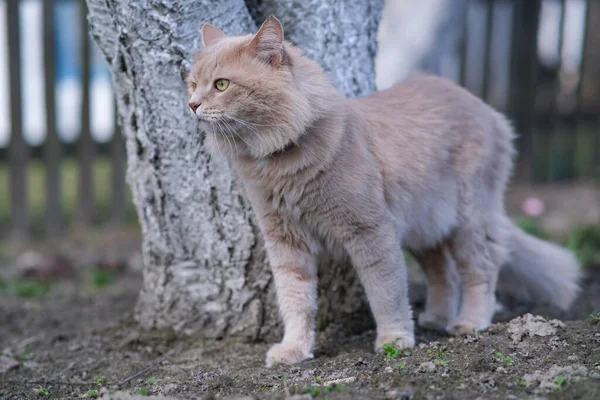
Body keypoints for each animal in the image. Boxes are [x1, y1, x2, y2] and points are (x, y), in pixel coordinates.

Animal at [188, 14, 580, 366]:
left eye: (221, 85)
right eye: (192, 84)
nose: (192, 105)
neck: (279, 162)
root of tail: (489, 111)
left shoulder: (369, 230)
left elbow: (385, 292)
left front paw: (395, 340)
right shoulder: (286, 240)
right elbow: (296, 301)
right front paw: (294, 350)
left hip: (470, 218)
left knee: (481, 269)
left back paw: (469, 322)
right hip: (426, 230)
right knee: (445, 274)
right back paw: (437, 318)